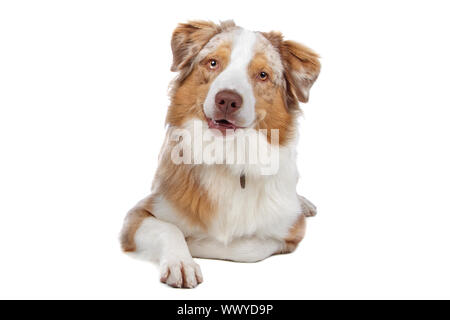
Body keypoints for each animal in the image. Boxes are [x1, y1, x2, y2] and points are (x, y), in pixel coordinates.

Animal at [119, 20, 320, 290]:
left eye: (263, 75)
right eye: (213, 62)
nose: (227, 99)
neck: (227, 154)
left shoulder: (292, 230)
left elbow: (246, 248)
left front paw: (198, 243)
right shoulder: (138, 215)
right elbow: (169, 229)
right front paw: (182, 261)